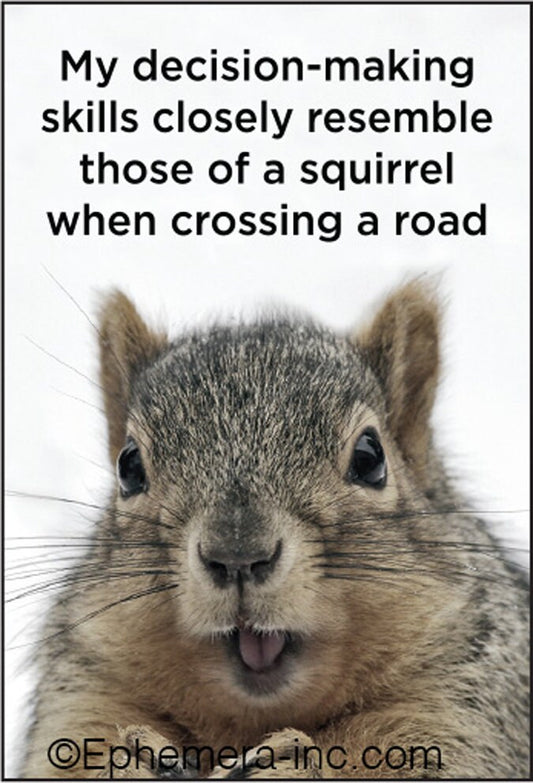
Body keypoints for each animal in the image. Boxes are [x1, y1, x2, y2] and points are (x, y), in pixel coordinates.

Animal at [20, 281, 529, 779]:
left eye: (370, 457)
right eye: (128, 467)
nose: (238, 555)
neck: (256, 718)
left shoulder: (464, 705)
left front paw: (291, 762)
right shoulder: (85, 691)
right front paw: (132, 758)